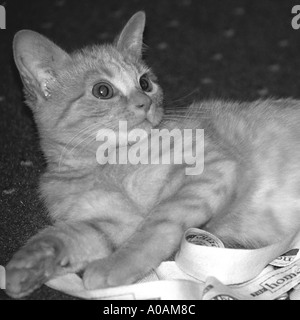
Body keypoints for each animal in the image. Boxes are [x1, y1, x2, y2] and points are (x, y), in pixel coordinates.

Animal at [5, 11, 300, 298]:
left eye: (144, 83)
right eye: (103, 90)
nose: (144, 102)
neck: (108, 164)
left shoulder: (210, 170)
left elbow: (156, 225)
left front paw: (114, 265)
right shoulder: (108, 223)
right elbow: (63, 236)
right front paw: (24, 266)